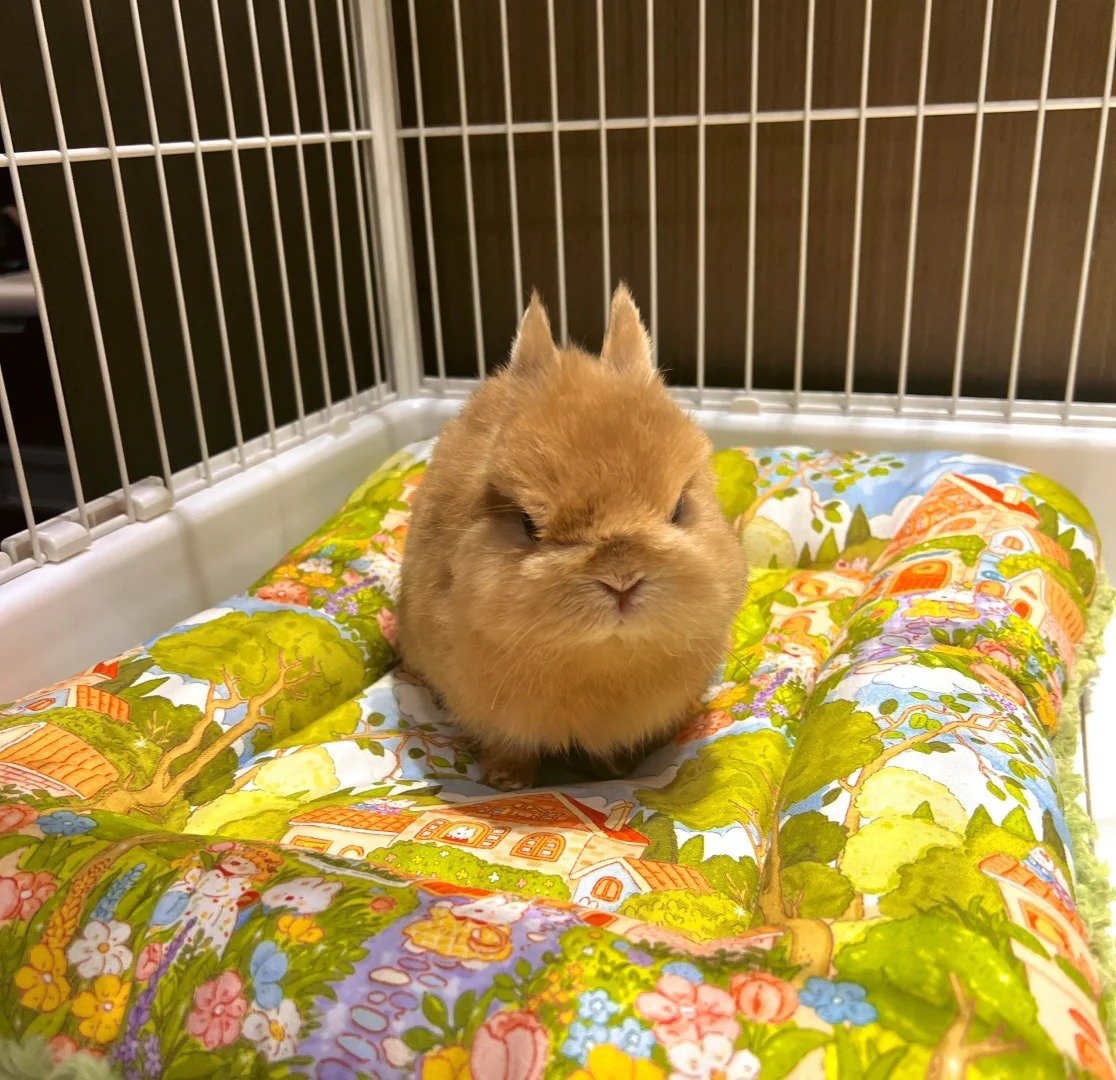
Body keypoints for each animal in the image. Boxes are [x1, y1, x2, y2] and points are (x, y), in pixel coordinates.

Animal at [396, 284, 748, 790]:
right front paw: (506, 781)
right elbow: (509, 744)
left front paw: (617, 770)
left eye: (679, 508)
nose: (621, 578)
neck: (599, 661)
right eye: (528, 523)